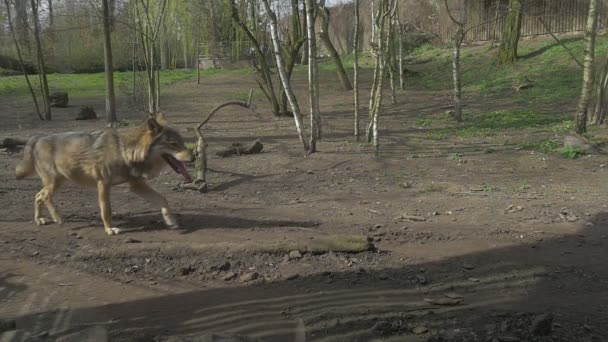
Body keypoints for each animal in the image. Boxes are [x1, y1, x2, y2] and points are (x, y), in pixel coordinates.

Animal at [15, 113, 192, 236]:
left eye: (182, 142)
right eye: (173, 144)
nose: (194, 156)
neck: (124, 150)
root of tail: (38, 137)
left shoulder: (135, 184)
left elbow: (163, 199)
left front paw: (171, 220)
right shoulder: (103, 184)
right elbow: (106, 210)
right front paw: (110, 229)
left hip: (58, 182)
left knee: (38, 195)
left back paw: (40, 219)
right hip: (55, 182)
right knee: (45, 196)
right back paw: (58, 219)